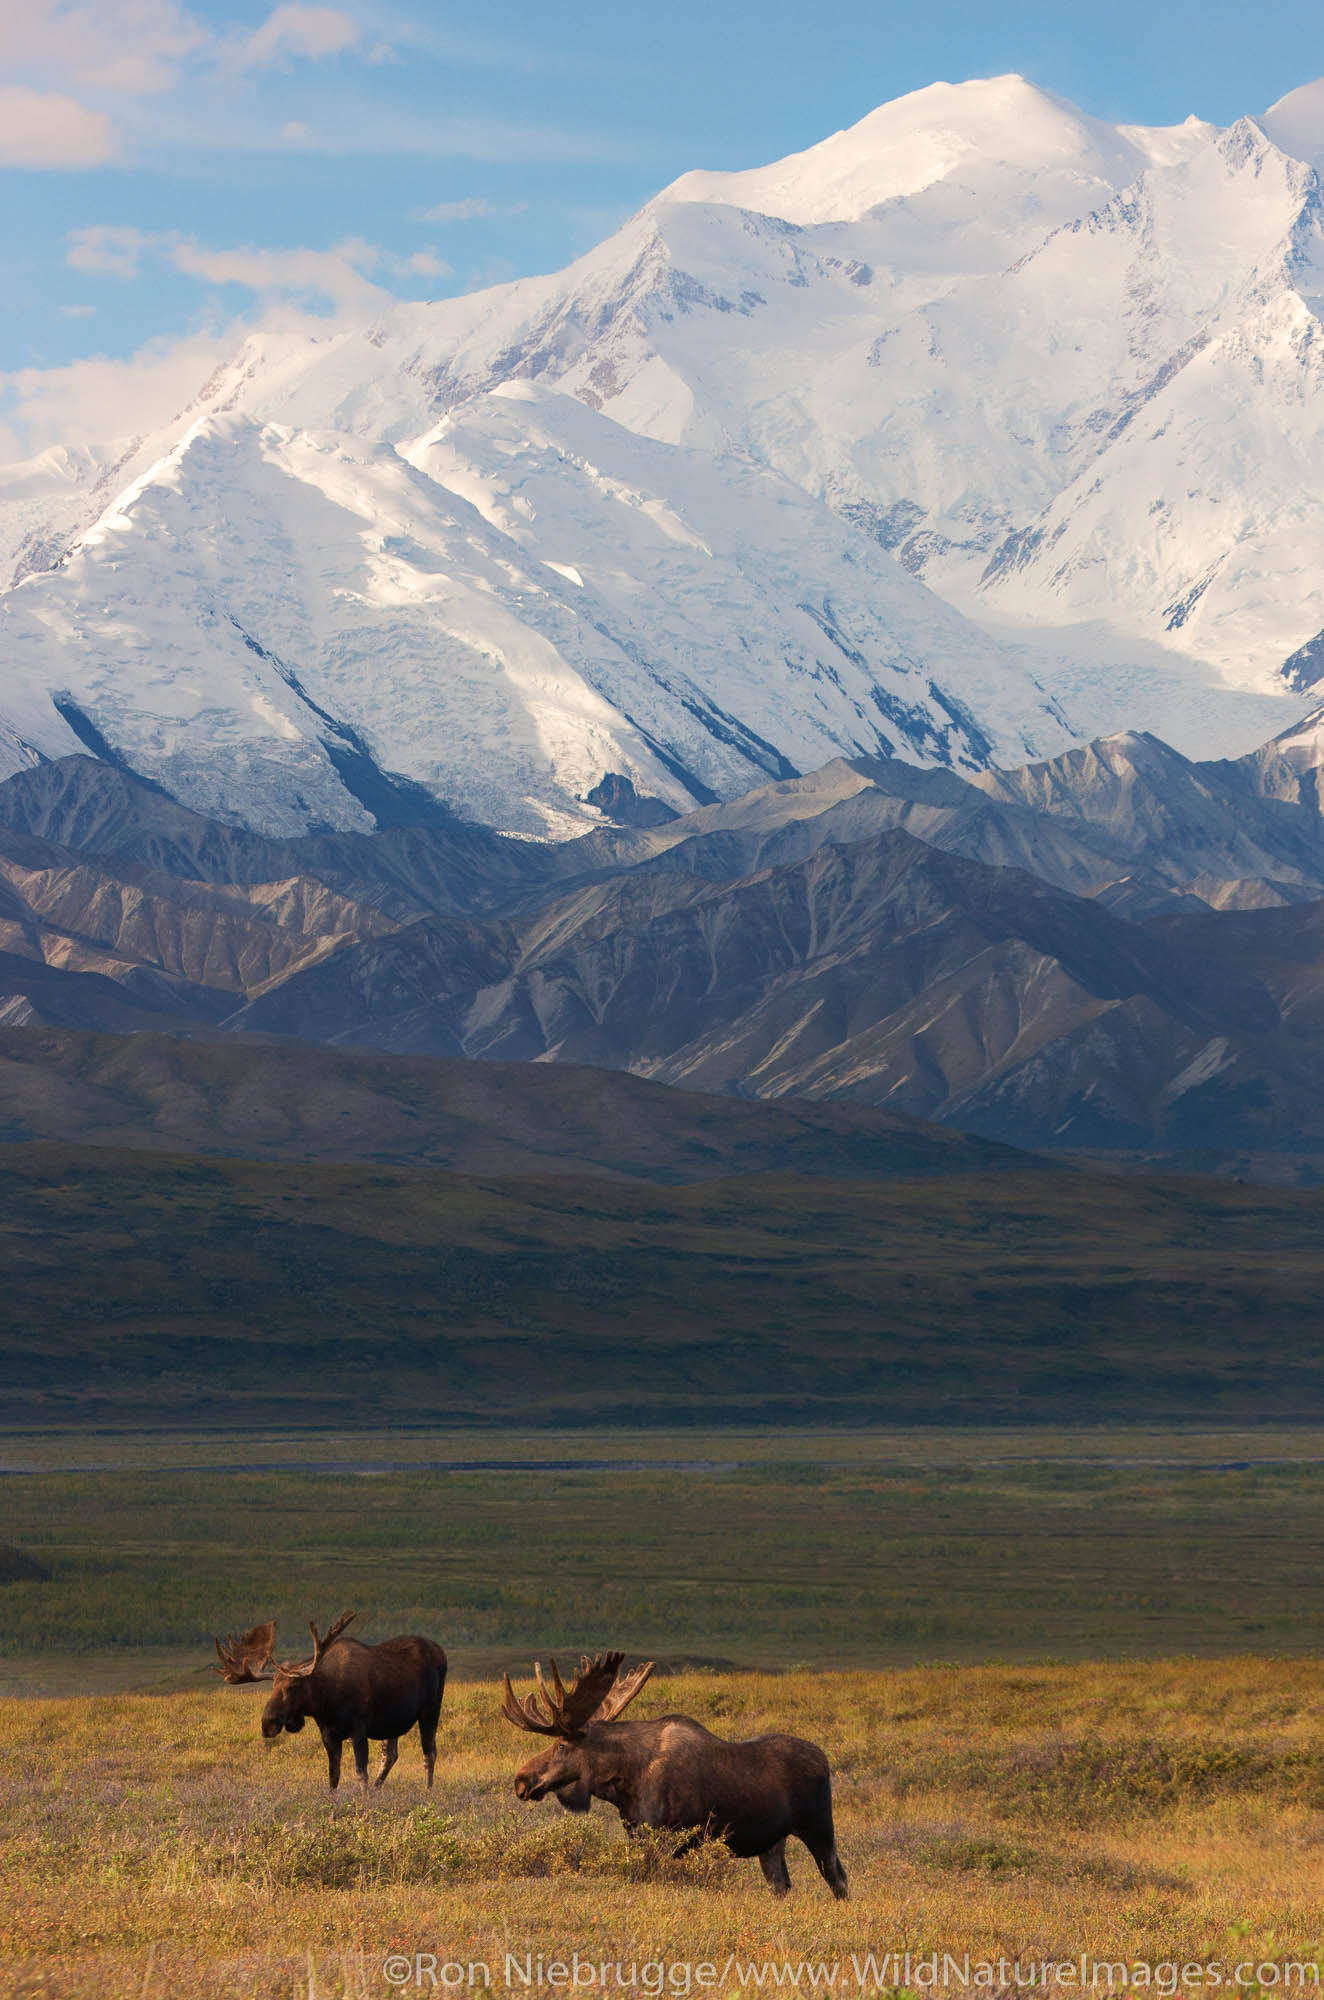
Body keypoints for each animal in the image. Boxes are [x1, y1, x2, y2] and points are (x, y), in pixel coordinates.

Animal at [213, 1616, 448, 1792]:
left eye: (293, 1687)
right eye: (272, 1686)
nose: (267, 1723)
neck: (326, 1701)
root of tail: (441, 1651)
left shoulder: (358, 1729)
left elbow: (360, 1773)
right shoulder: (328, 1734)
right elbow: (333, 1776)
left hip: (430, 1711)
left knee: (429, 1753)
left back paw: (427, 1791)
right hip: (392, 1724)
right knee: (390, 1756)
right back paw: (377, 1789)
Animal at [498, 1648, 852, 1896]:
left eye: (561, 1745)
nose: (521, 1780)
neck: (624, 1781)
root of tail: (824, 1760)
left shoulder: (665, 1838)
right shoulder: (638, 1835)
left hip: (819, 1827)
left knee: (838, 1877)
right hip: (771, 1842)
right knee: (781, 1884)